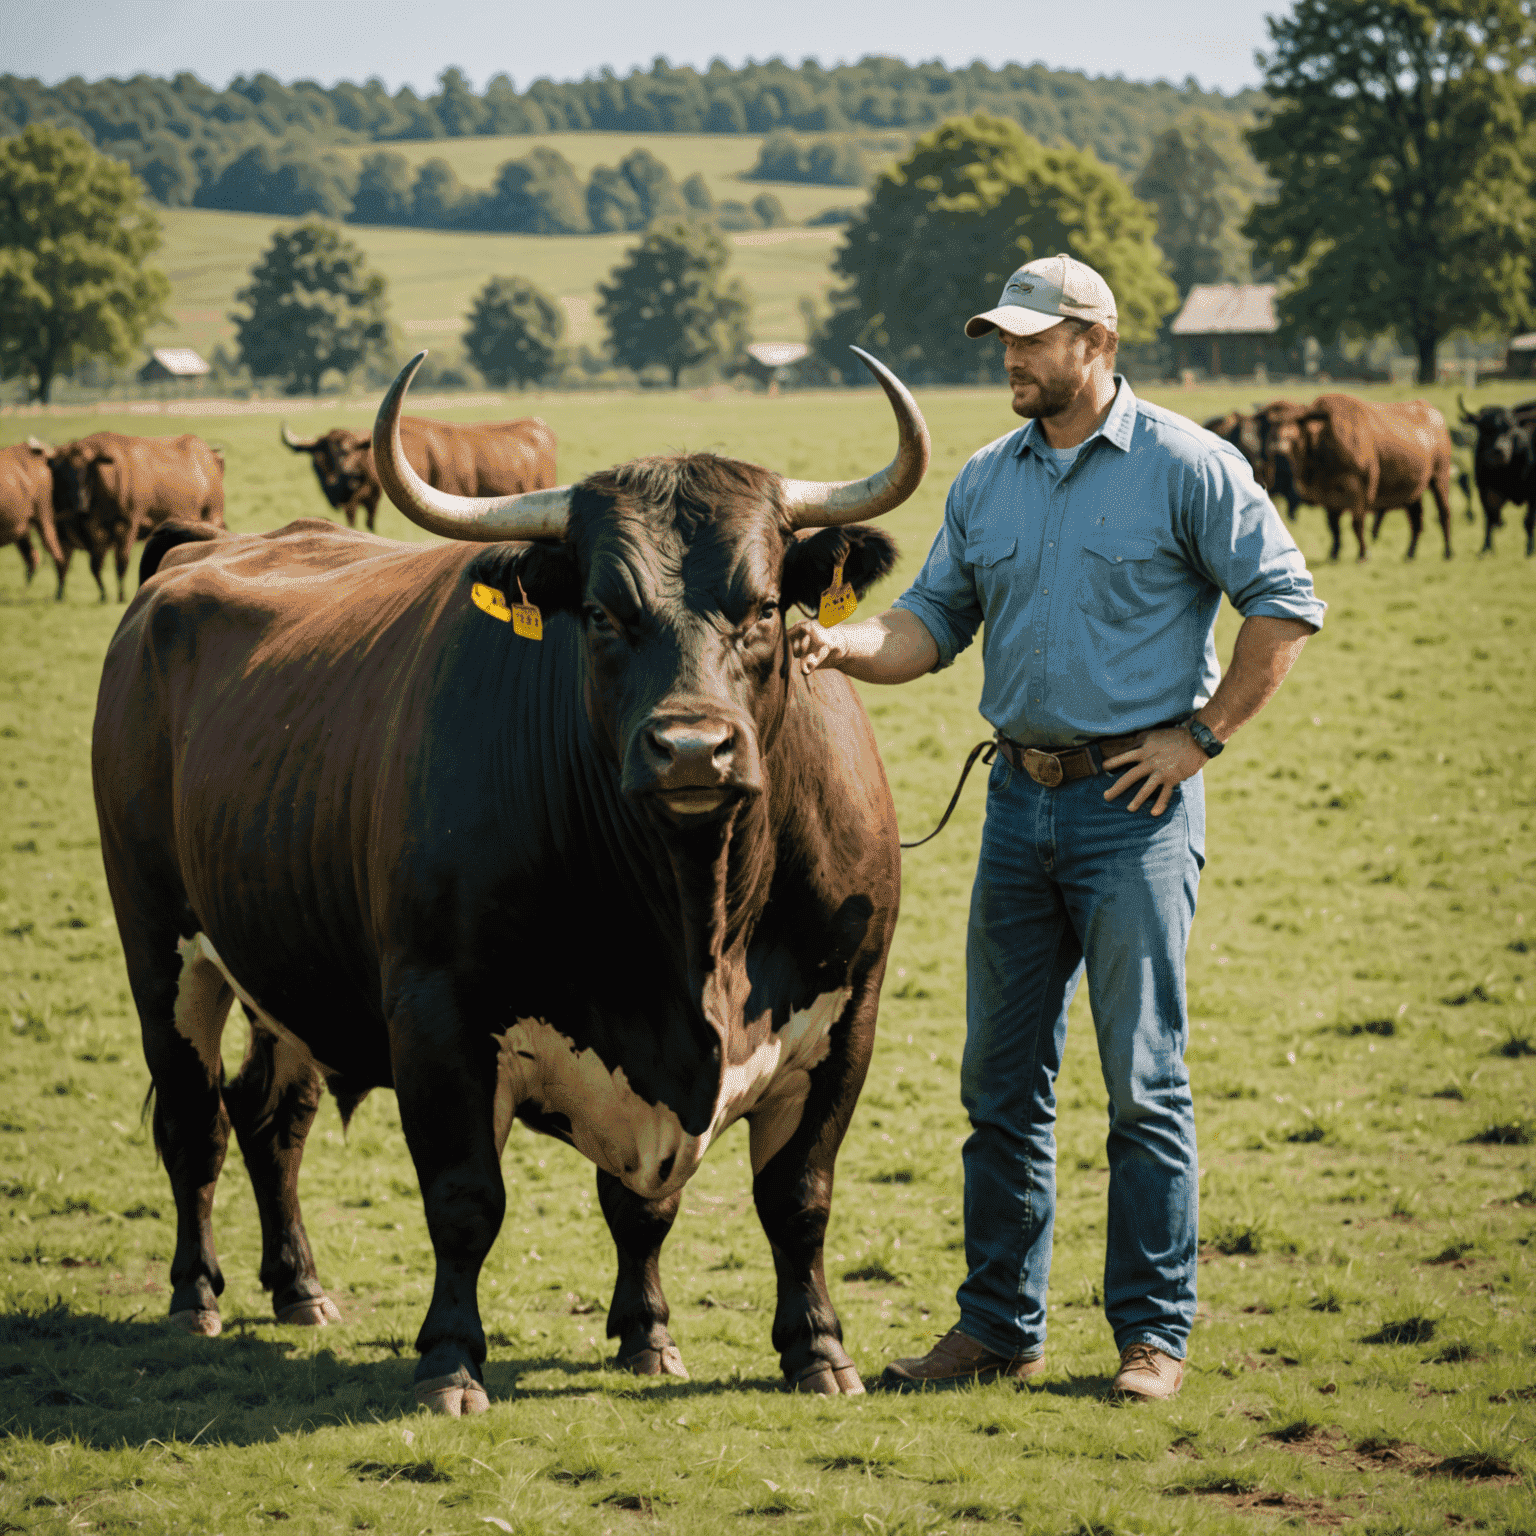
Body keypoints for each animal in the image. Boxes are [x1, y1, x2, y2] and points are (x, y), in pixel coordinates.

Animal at [49, 433, 224, 605]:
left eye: (86, 469)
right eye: (61, 472)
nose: (79, 502)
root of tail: (211, 454)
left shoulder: (127, 525)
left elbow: (121, 561)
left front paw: (121, 597)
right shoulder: (88, 531)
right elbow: (90, 565)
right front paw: (101, 596)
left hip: (212, 515)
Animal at [1259, 396, 1449, 565]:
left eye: (1297, 422)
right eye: (1275, 425)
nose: (1278, 447)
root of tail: (1433, 412)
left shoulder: (1359, 491)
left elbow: (1357, 525)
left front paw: (1363, 554)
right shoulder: (1328, 497)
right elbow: (1333, 527)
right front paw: (1334, 554)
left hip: (1440, 478)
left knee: (1443, 514)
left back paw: (1448, 552)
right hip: (1413, 491)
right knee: (1416, 521)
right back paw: (1410, 554)